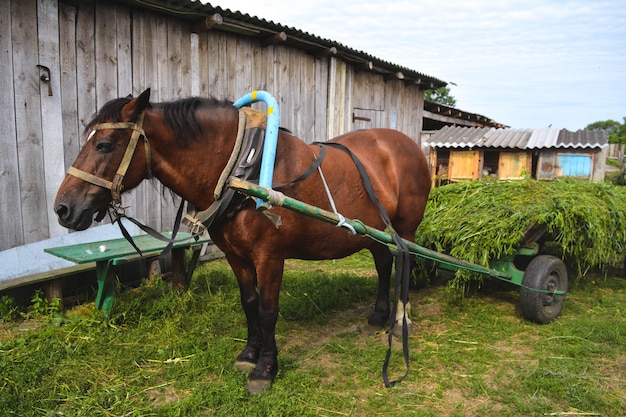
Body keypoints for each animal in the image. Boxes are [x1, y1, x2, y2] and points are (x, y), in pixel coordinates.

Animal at [53, 88, 428, 394]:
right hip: (374, 230)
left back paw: (400, 319)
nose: (63, 209)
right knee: (384, 264)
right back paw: (378, 316)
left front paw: (265, 370)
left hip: (405, 230)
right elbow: (249, 303)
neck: (242, 171)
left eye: (104, 145)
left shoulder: (270, 257)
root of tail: (408, 144)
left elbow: (267, 310)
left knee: (404, 264)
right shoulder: (236, 255)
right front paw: (249, 354)